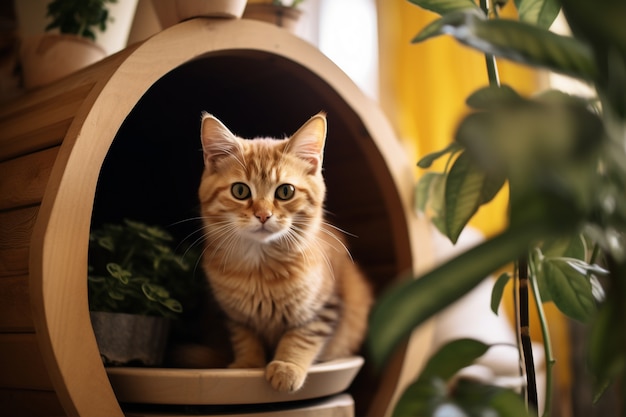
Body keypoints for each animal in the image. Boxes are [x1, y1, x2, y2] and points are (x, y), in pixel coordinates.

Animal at [195, 112, 370, 392]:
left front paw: (287, 367)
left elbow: (301, 337)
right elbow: (245, 338)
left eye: (285, 191)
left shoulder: (325, 307)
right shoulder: (235, 317)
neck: (260, 267)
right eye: (240, 190)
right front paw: (247, 365)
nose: (263, 215)